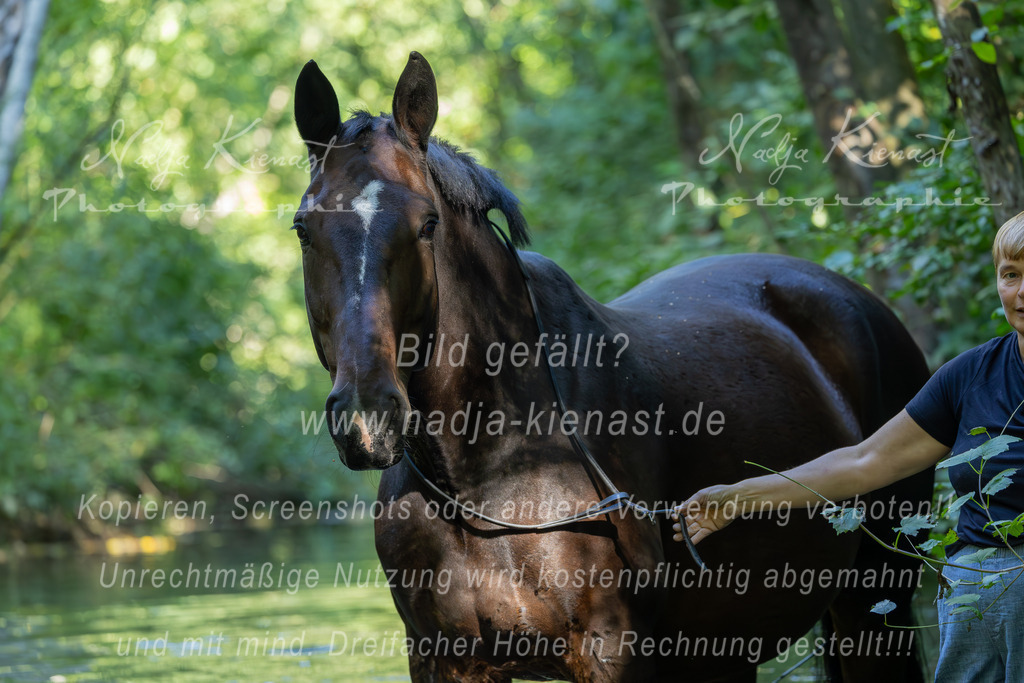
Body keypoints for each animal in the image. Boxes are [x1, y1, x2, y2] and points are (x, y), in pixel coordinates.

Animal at [292, 52, 933, 682]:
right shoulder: (441, 658)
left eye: (427, 224)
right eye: (303, 229)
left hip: (875, 603)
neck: (488, 470)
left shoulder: (612, 650)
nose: (366, 419)